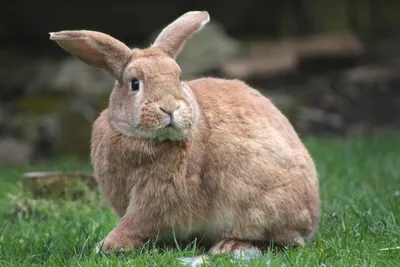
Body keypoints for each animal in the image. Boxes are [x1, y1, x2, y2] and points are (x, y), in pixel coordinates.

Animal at [50, 11, 320, 258]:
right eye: (135, 83)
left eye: (179, 77)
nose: (170, 108)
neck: (140, 138)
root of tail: (311, 217)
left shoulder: (158, 196)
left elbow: (136, 222)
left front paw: (108, 245)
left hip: (257, 206)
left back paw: (228, 246)